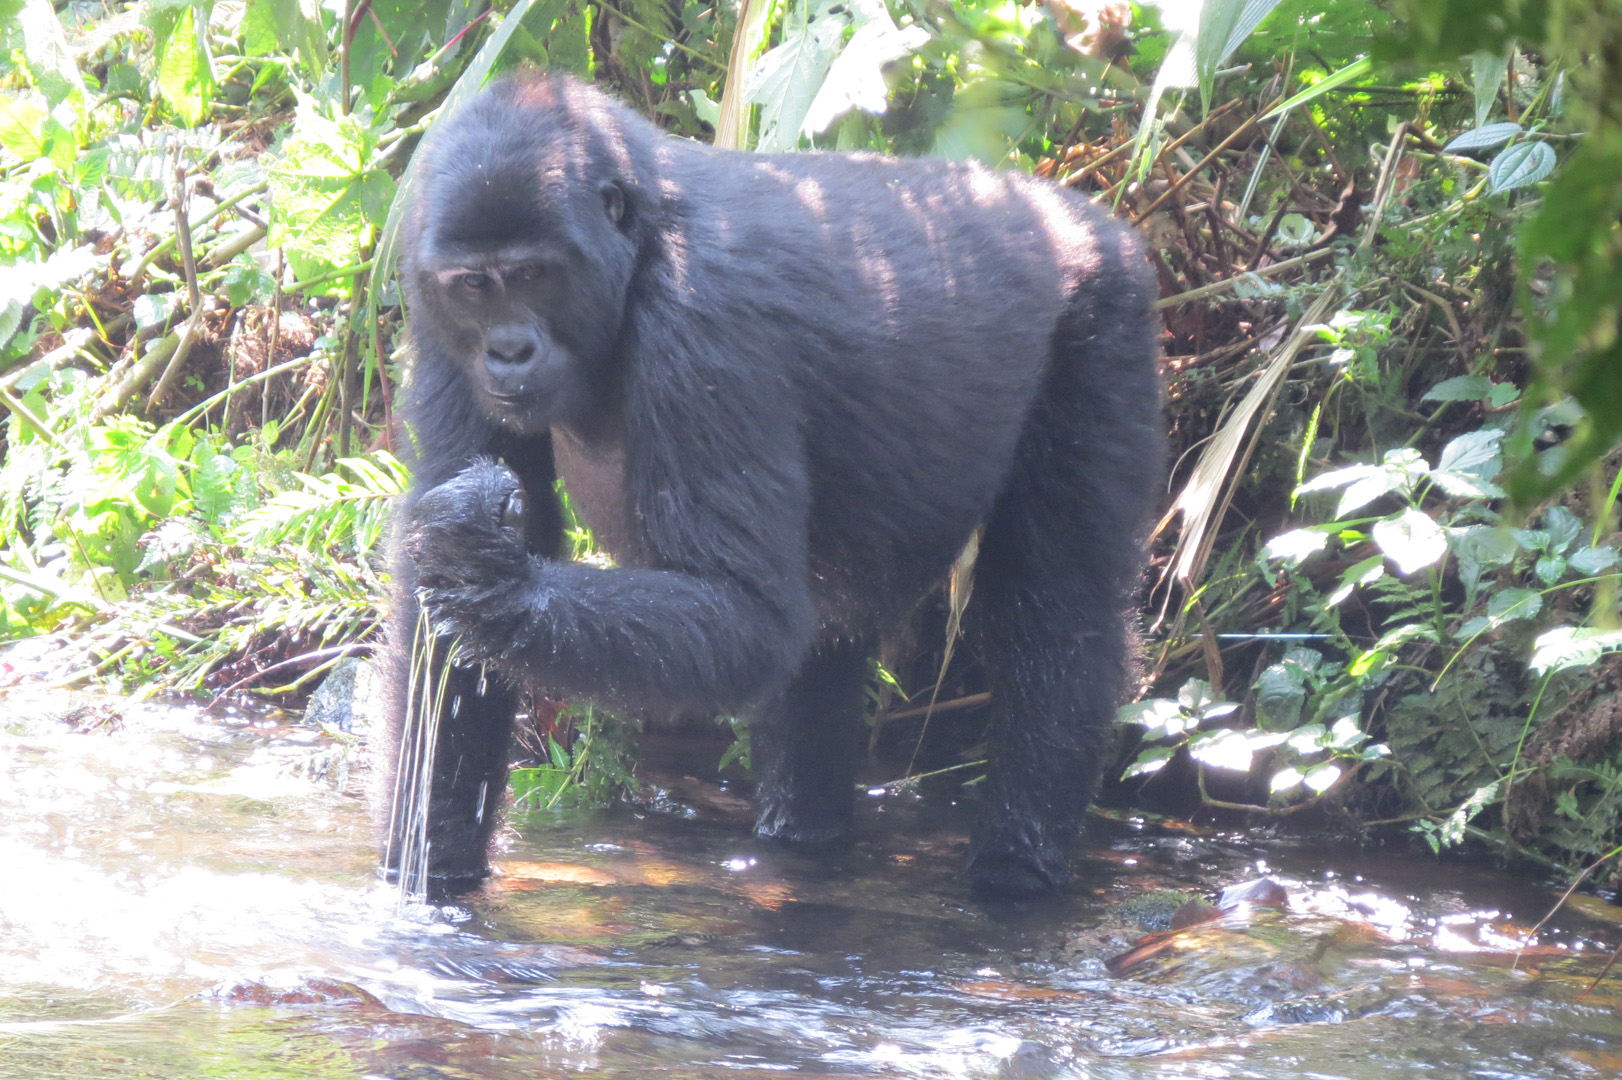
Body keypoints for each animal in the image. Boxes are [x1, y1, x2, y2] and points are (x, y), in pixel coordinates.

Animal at [379, 73, 1167, 901]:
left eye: (535, 275)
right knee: (831, 637)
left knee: (1060, 612)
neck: (641, 244)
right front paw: (429, 867)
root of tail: (1069, 207)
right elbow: (445, 647)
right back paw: (802, 838)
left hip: (1104, 310)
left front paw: (491, 578)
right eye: (473, 287)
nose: (506, 352)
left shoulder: (704, 323)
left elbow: (746, 613)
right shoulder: (432, 314)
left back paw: (1015, 870)